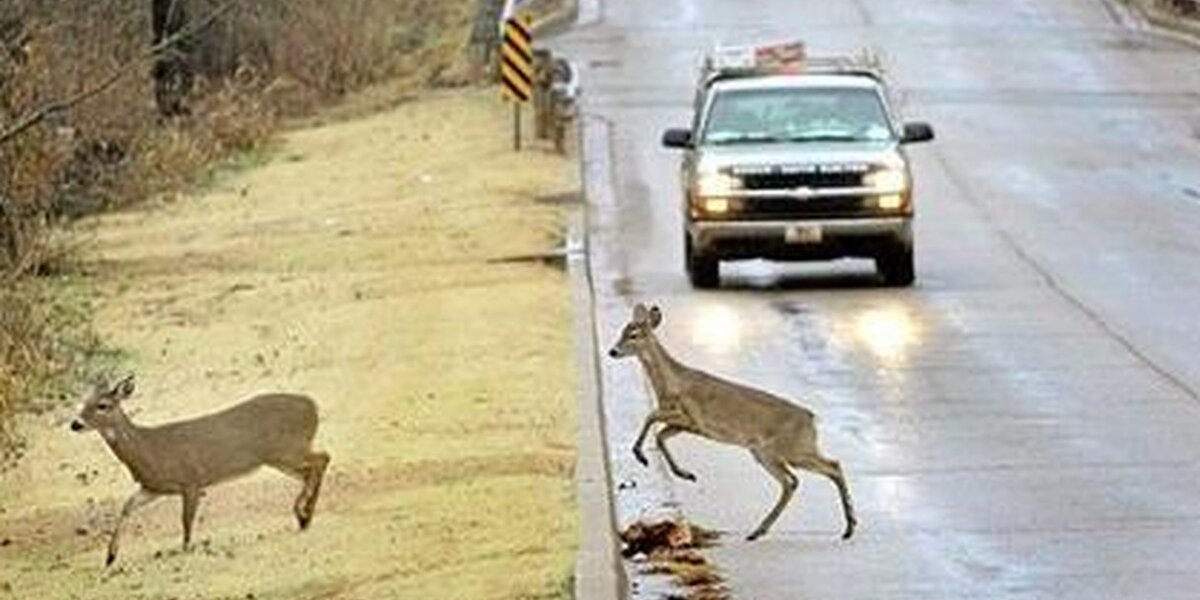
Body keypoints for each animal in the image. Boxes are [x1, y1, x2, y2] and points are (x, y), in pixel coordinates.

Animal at [69, 374, 331, 565]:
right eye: (82, 404)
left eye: (103, 405)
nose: (75, 424)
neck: (151, 449)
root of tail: (313, 406)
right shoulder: (153, 487)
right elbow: (126, 507)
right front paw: (110, 556)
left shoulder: (191, 480)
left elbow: (186, 519)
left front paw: (186, 548)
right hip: (281, 457)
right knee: (312, 469)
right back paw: (305, 517)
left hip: (287, 449)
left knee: (322, 459)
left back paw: (301, 511)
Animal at [607, 303, 856, 541]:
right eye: (622, 331)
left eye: (634, 335)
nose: (612, 351)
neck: (671, 385)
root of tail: (811, 419)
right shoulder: (688, 425)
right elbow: (660, 435)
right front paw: (684, 473)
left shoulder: (692, 417)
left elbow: (651, 418)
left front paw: (641, 455)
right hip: (766, 452)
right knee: (797, 479)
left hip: (790, 449)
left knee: (827, 467)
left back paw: (845, 527)